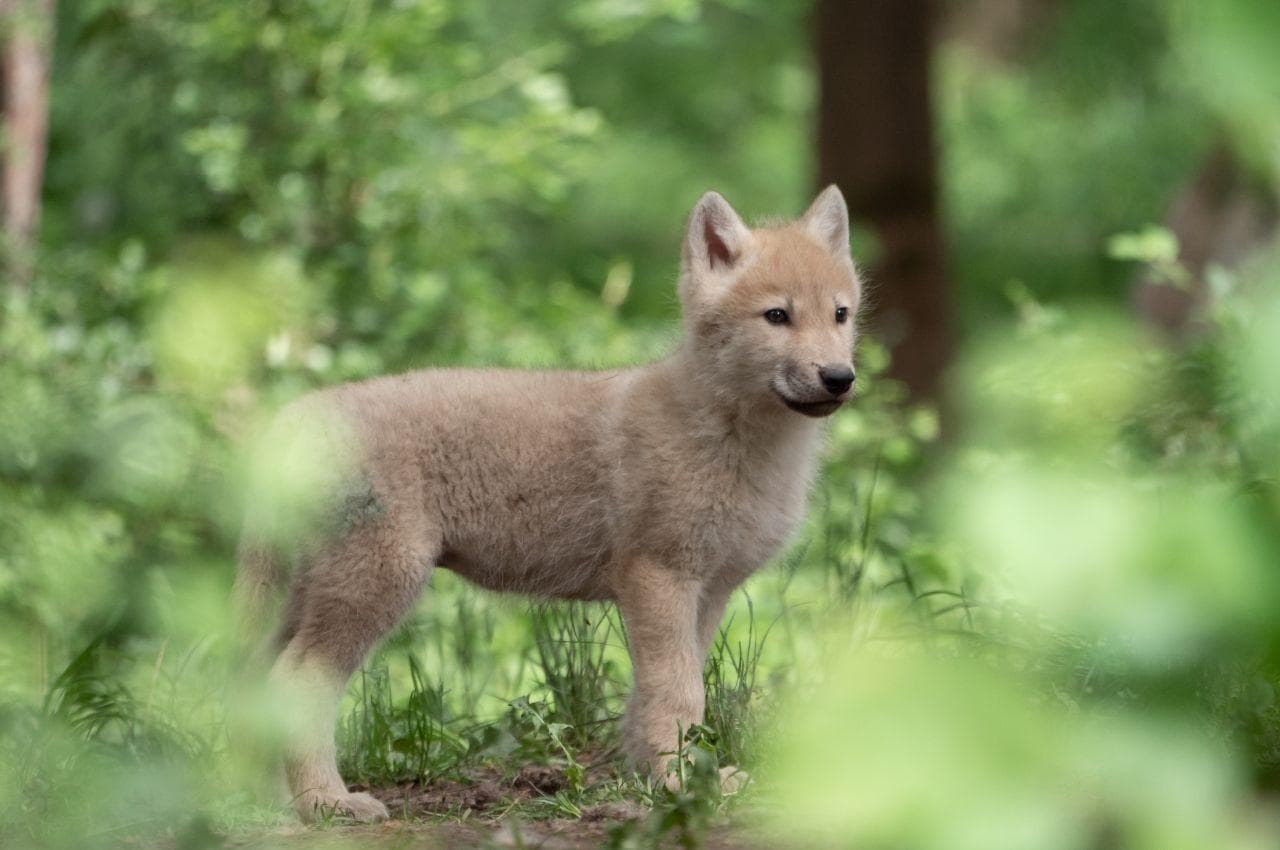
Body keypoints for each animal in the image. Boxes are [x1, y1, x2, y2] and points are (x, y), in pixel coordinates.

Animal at [235, 186, 861, 821]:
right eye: (777, 316)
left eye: (840, 314)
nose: (840, 377)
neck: (731, 435)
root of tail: (300, 414)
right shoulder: (659, 578)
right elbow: (678, 694)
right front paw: (680, 783)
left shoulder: (706, 592)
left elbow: (657, 697)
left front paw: (663, 777)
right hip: (376, 585)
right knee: (294, 684)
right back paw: (326, 802)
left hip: (308, 594)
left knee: (258, 685)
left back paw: (271, 804)